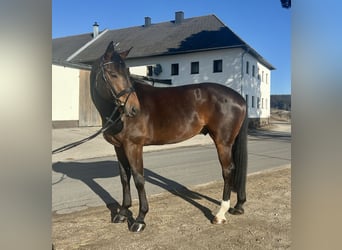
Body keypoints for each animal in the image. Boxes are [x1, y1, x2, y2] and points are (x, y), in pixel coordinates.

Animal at [89, 41, 247, 232]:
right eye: (113, 74)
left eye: (127, 74)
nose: (134, 108)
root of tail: (240, 98)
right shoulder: (119, 147)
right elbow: (124, 178)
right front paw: (122, 213)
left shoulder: (133, 146)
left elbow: (138, 178)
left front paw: (140, 219)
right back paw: (238, 206)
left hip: (223, 142)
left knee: (228, 170)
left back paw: (220, 214)